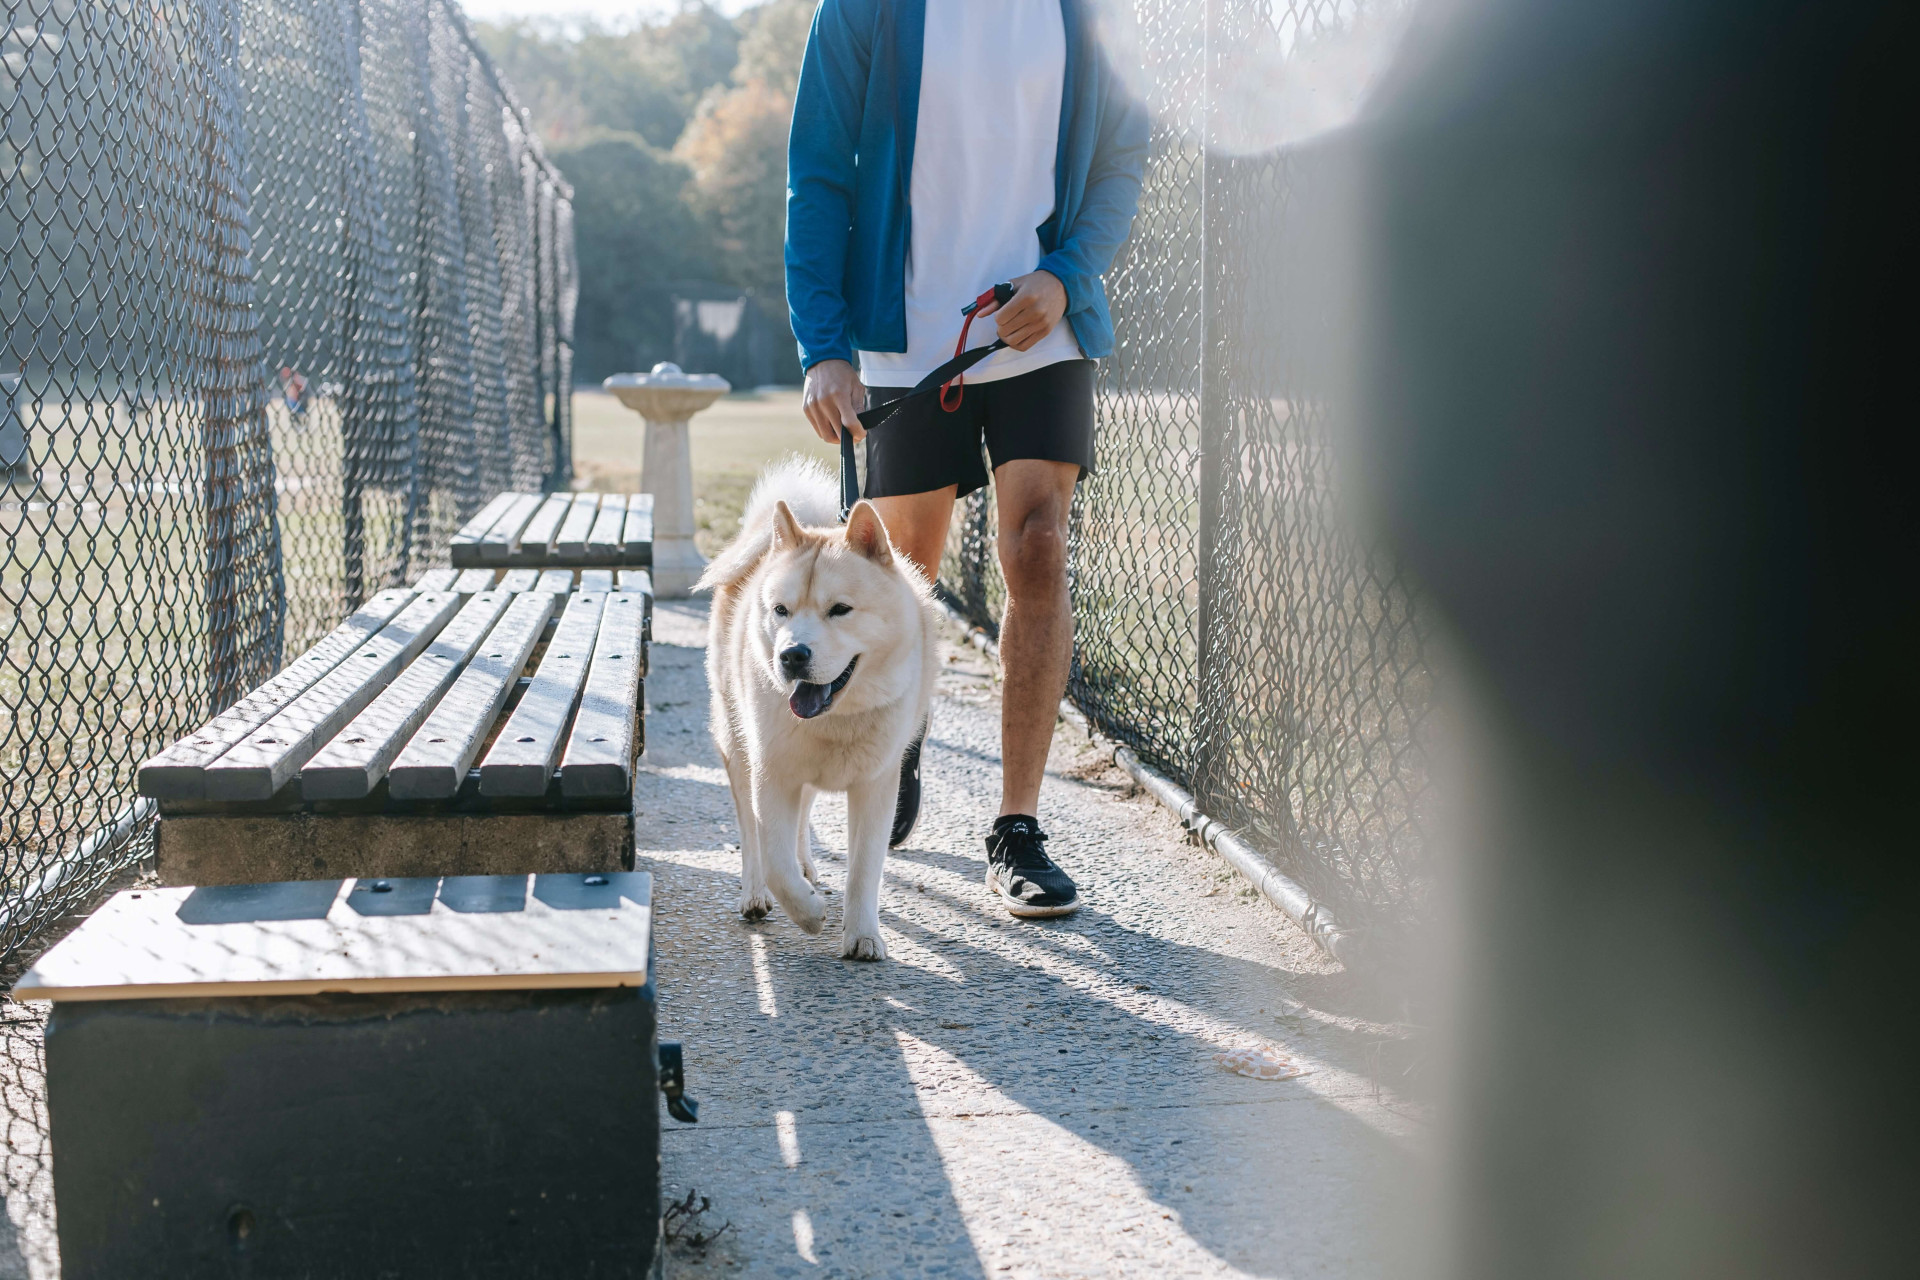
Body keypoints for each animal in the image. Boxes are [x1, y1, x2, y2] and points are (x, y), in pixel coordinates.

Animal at [698, 460, 936, 959]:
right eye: (781, 610)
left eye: (840, 609)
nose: (791, 656)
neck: (837, 720)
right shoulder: (772, 775)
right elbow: (773, 859)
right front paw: (808, 913)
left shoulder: (876, 787)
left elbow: (864, 870)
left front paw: (862, 935)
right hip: (738, 747)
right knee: (752, 836)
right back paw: (755, 893)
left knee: (802, 820)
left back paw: (807, 866)